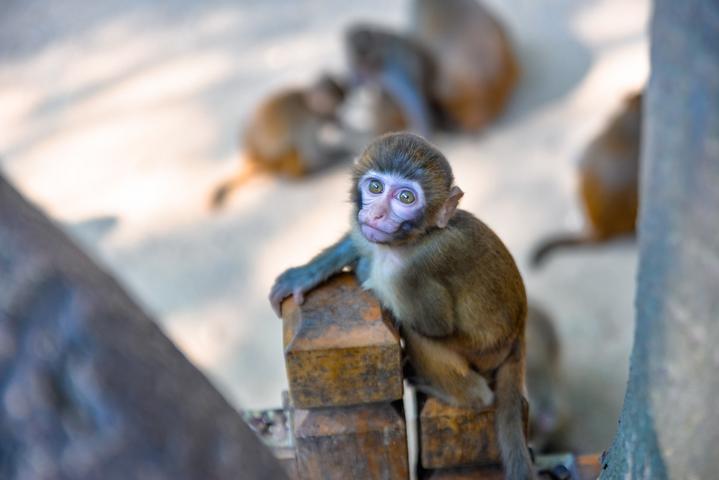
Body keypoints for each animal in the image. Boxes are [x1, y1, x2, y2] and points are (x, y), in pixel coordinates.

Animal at [208, 73, 354, 208]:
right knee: (291, 148)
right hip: (275, 159)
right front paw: (334, 156)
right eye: (334, 108)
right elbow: (312, 148)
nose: (335, 118)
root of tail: (254, 156)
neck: (305, 102)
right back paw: (300, 175)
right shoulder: (307, 122)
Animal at [270, 132, 536, 480]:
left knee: (419, 334)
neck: (416, 238)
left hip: (484, 354)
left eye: (406, 198)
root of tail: (519, 331)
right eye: (375, 187)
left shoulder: (413, 272)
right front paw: (304, 275)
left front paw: (365, 272)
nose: (377, 215)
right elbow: (362, 240)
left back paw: (463, 394)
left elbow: (434, 325)